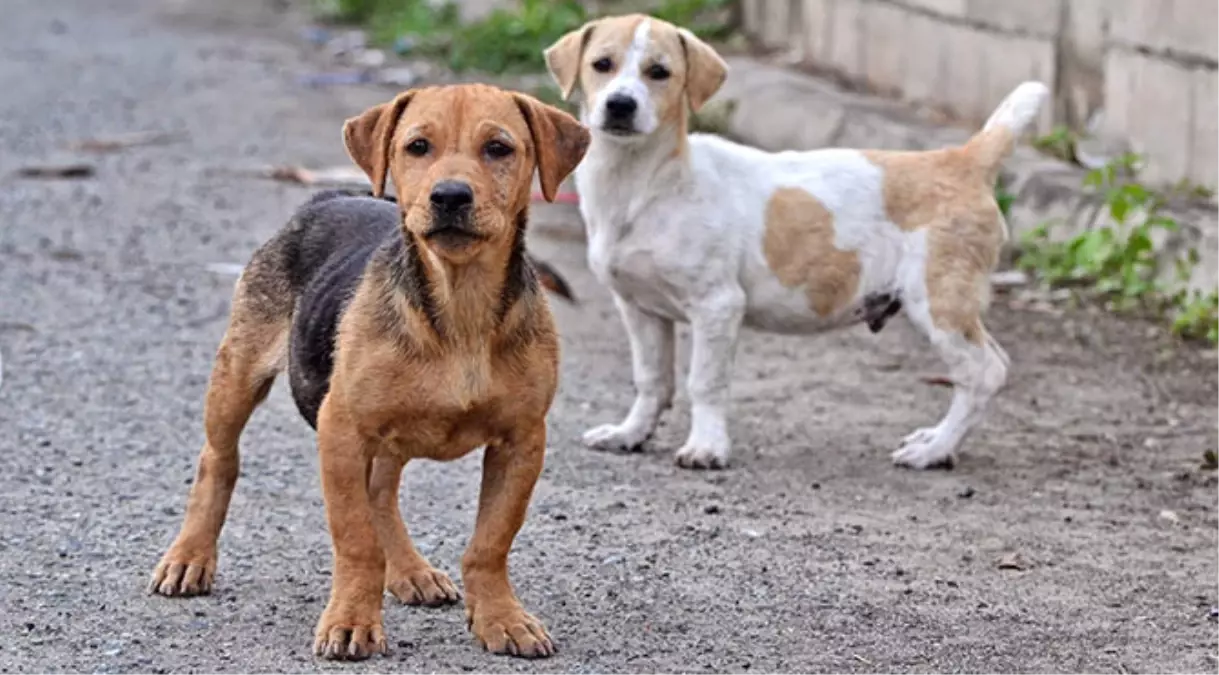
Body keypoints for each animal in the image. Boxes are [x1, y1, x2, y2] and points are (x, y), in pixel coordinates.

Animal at [148, 82, 589, 657]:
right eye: (418, 146)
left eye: (499, 149)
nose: (450, 196)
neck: (460, 306)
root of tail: (329, 197)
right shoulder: (342, 427)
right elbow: (356, 538)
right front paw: (352, 621)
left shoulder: (522, 440)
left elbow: (490, 542)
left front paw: (502, 618)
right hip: (238, 372)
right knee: (217, 460)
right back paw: (189, 557)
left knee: (380, 492)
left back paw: (410, 571)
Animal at [546, 14, 1048, 467]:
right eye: (602, 64)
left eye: (659, 72)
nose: (620, 105)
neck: (642, 183)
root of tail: (961, 160)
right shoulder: (639, 308)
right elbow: (652, 380)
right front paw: (630, 433)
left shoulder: (717, 306)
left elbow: (704, 383)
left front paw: (707, 447)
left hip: (938, 301)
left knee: (984, 372)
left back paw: (935, 450)